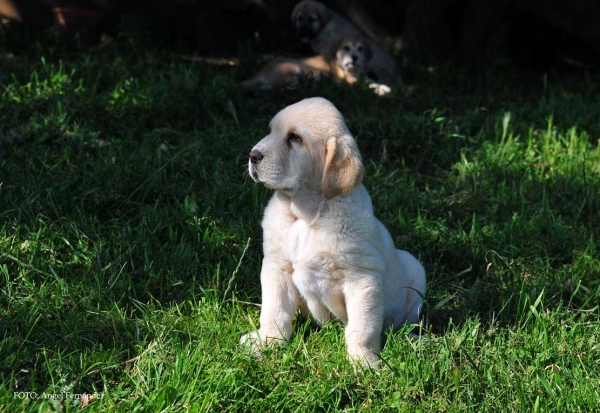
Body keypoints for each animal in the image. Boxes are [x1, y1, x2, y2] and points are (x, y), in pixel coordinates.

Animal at [240, 97, 426, 366]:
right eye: (271, 131)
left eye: (295, 137)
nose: (253, 155)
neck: (305, 215)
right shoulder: (277, 267)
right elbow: (274, 312)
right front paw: (266, 343)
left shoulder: (362, 279)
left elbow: (362, 328)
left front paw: (364, 363)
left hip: (415, 270)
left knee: (405, 320)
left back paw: (412, 338)